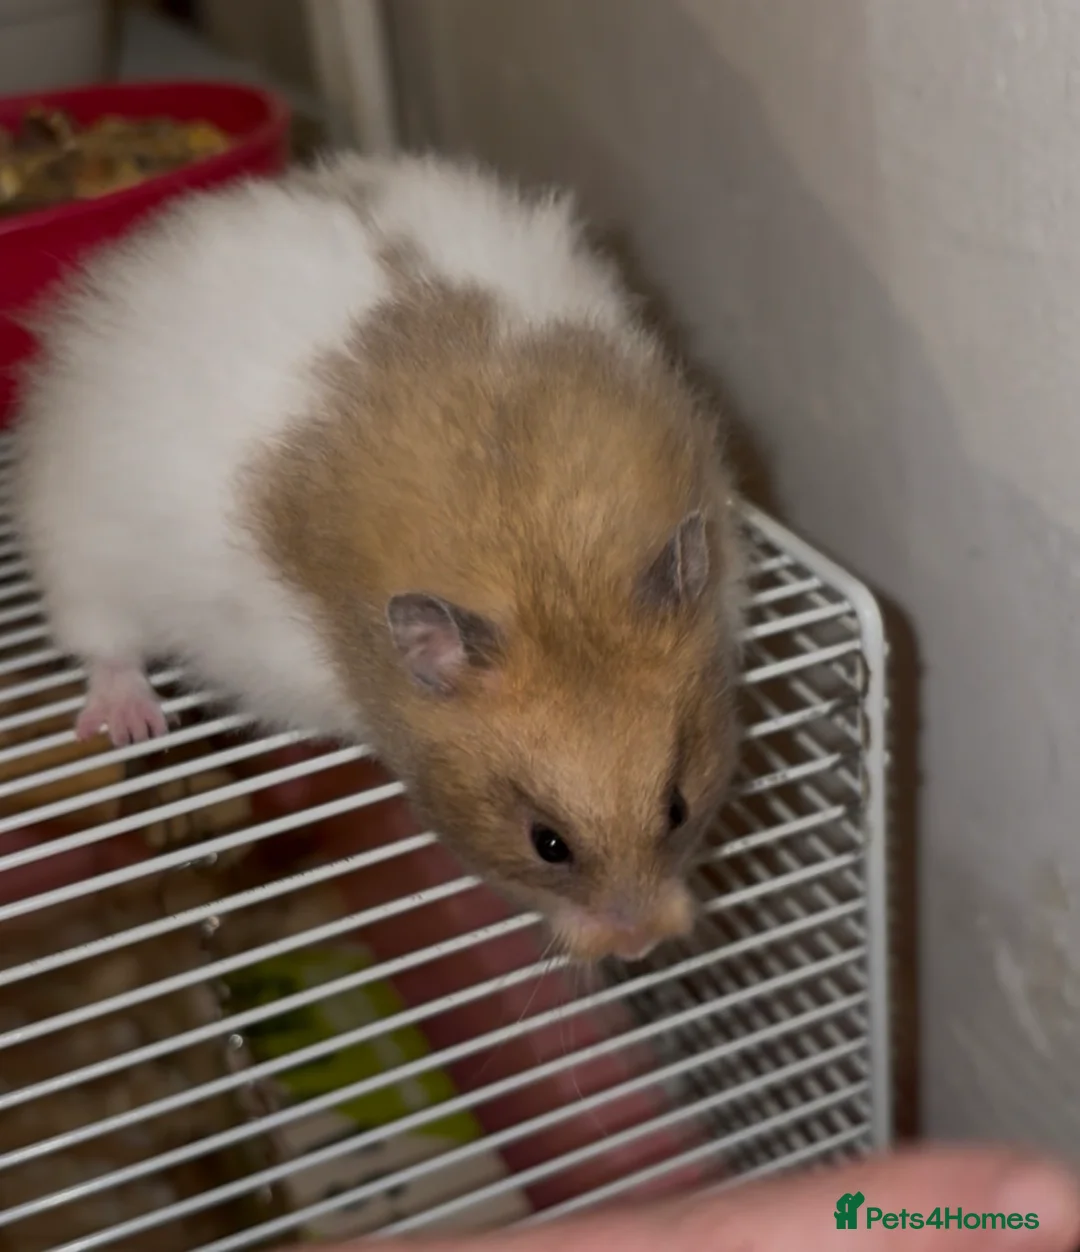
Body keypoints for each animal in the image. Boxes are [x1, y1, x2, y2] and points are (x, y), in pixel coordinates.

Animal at [12, 152, 744, 963]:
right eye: (547, 843)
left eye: (677, 807)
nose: (639, 946)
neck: (547, 576)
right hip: (76, 540)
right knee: (104, 646)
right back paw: (134, 723)